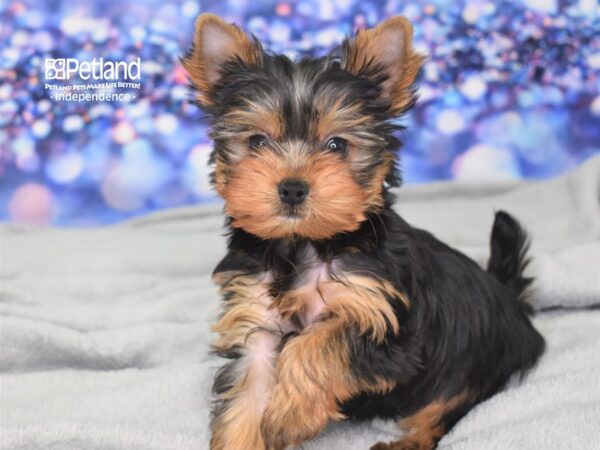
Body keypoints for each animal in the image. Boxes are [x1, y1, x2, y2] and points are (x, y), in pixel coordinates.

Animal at [183, 14, 544, 450]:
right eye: (257, 141)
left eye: (337, 145)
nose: (292, 188)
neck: (305, 245)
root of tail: (508, 295)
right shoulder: (256, 322)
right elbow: (246, 399)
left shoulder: (387, 326)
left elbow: (322, 341)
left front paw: (289, 414)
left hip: (476, 365)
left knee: (446, 405)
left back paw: (406, 441)